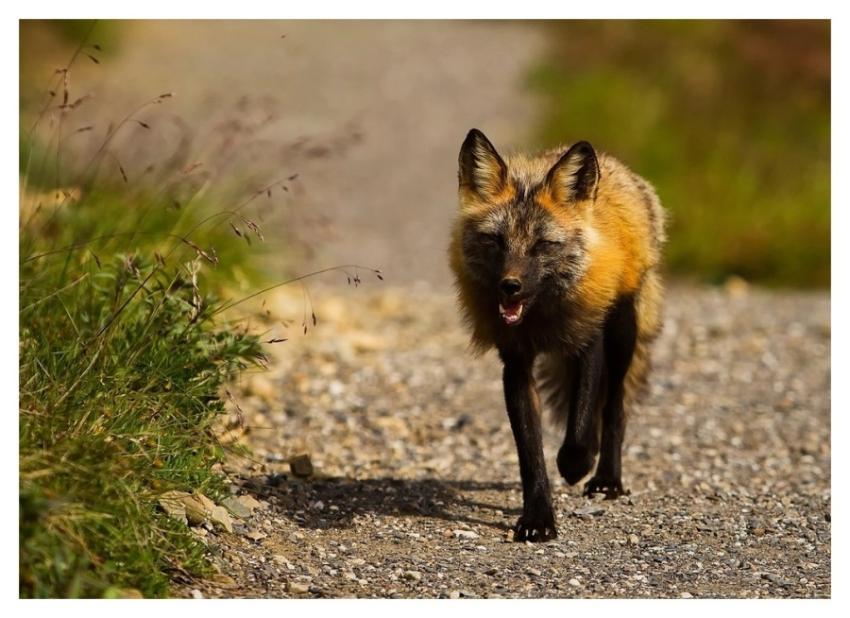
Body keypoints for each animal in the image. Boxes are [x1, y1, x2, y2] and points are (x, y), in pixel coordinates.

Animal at [448, 129, 665, 542]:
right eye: (495, 241)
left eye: (542, 246)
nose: (509, 287)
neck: (541, 318)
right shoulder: (516, 364)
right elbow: (531, 454)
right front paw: (537, 518)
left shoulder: (588, 342)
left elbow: (579, 430)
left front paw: (576, 465)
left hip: (621, 334)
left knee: (614, 405)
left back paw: (607, 477)